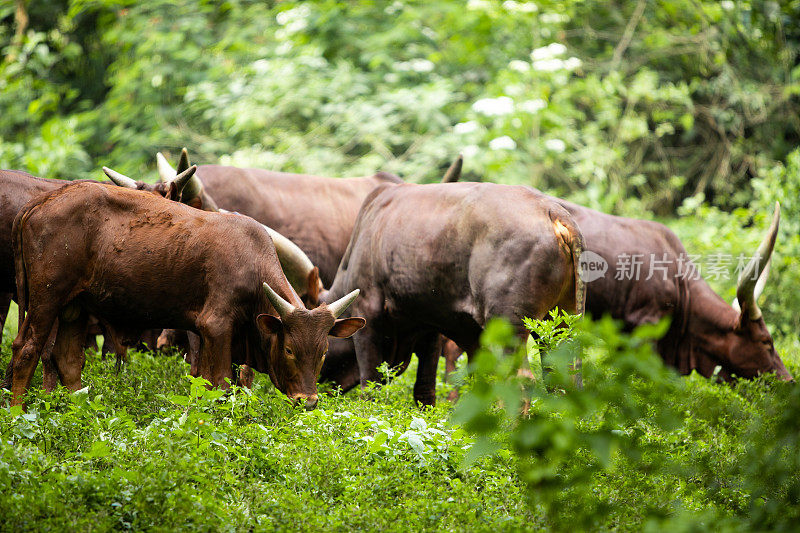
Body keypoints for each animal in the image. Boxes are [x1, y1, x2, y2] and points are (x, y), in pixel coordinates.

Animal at [8, 181, 366, 406]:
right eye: (290, 349)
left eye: (323, 351)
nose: (308, 401)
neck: (253, 265)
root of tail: (39, 203)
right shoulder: (216, 327)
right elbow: (219, 383)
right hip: (46, 299)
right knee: (26, 350)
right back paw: (17, 414)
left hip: (75, 307)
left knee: (68, 361)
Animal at [316, 181, 584, 406]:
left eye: (323, 347)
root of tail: (552, 211)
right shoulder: (441, 326)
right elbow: (432, 388)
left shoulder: (368, 314)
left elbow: (371, 386)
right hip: (557, 323)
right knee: (558, 379)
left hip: (508, 324)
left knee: (521, 380)